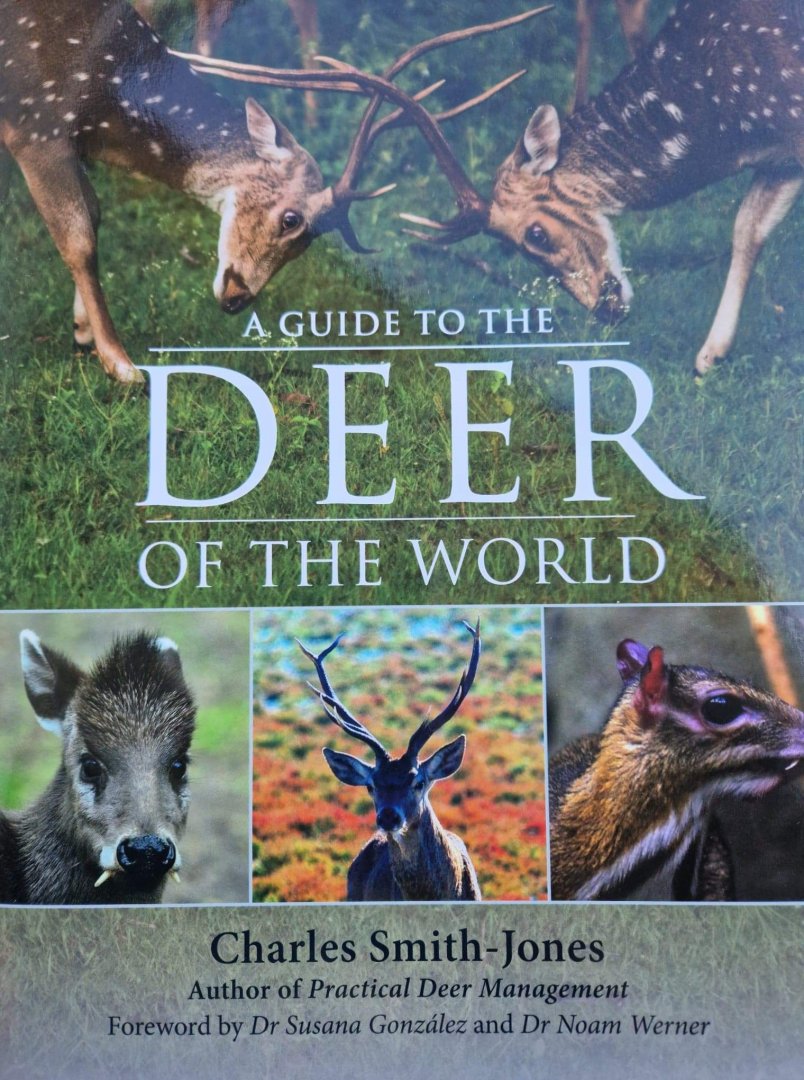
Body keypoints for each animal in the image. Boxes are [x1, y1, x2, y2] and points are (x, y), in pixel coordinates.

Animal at [0, 2, 543, 385]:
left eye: (308, 244)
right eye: (291, 219)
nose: (238, 298)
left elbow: (96, 213)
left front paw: (82, 332)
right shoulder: (36, 128)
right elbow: (79, 236)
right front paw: (122, 365)